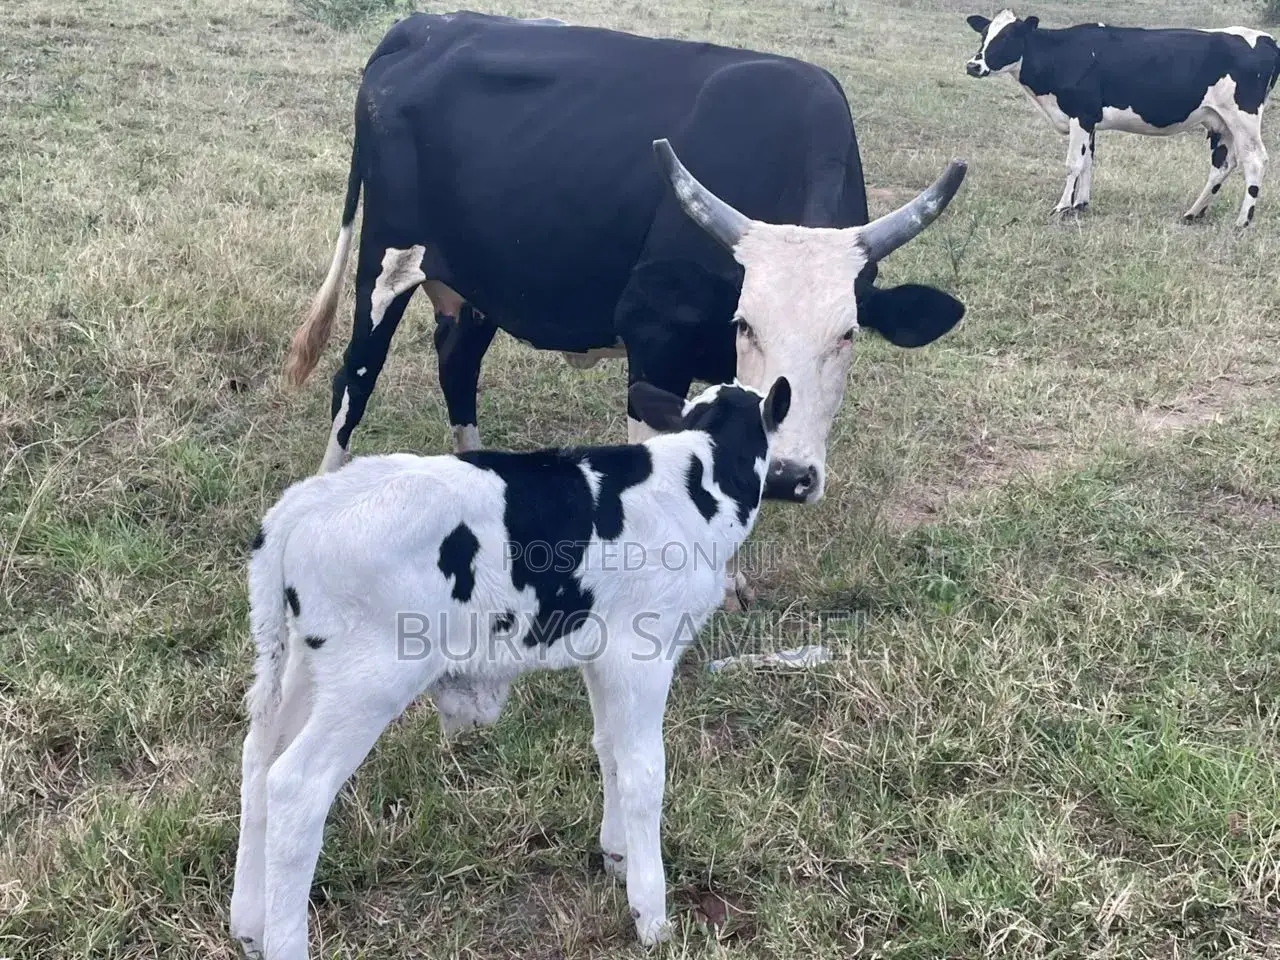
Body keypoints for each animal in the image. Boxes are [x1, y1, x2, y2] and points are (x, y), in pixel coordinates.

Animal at [230, 377, 792, 956]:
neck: (694, 482)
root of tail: (302, 505)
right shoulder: (643, 653)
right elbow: (644, 772)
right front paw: (651, 916)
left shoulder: (601, 655)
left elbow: (608, 749)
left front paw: (616, 856)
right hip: (367, 684)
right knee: (296, 787)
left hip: (300, 667)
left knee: (257, 761)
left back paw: (249, 925)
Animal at [282, 11, 967, 504]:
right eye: (746, 324)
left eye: (848, 334)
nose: (788, 477)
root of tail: (424, 25)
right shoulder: (654, 334)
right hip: (387, 257)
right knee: (356, 376)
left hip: (480, 282)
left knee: (458, 364)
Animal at [964, 10, 1280, 225]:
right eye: (984, 35)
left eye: (1007, 36)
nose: (973, 65)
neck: (1064, 54)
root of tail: (1265, 39)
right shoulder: (1090, 119)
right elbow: (1088, 162)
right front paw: (1080, 205)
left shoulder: (1081, 113)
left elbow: (1073, 164)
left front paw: (1061, 207)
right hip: (1221, 122)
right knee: (1223, 164)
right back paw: (1193, 213)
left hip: (1243, 118)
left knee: (1255, 160)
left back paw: (1242, 221)